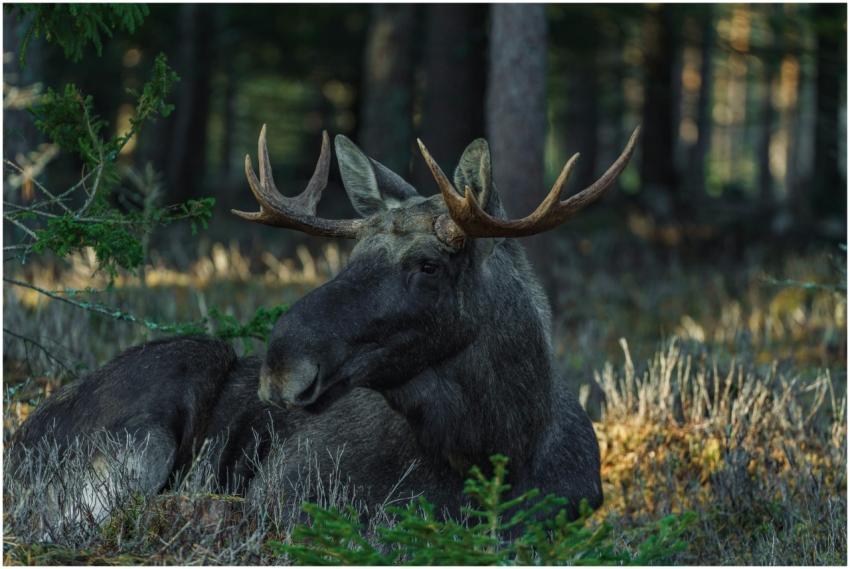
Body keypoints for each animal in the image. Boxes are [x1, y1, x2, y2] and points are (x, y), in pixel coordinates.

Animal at [8, 124, 640, 535]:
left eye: (428, 264)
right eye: (354, 255)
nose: (282, 364)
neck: (501, 447)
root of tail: (15, 442)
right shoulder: (286, 493)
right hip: (151, 419)